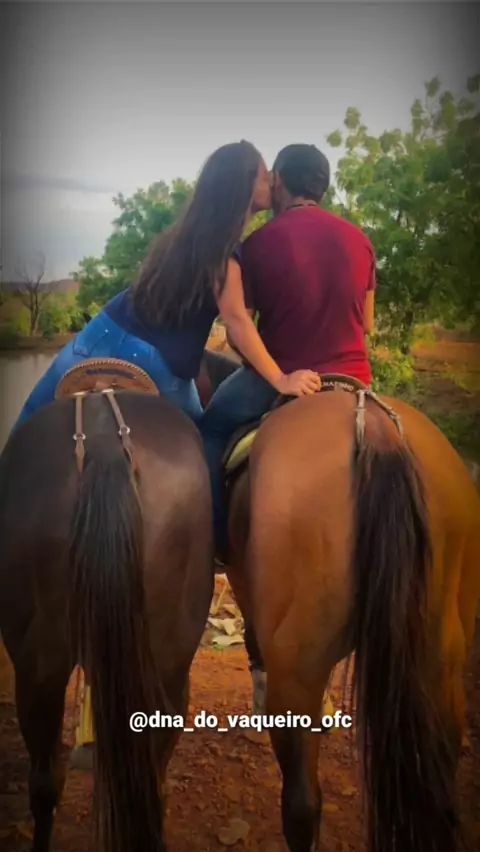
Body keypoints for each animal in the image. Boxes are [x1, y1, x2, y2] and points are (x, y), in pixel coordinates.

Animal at [200, 349, 480, 852]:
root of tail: (380, 432)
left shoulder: (246, 584)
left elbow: (254, 642)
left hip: (299, 665)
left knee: (302, 804)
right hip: (441, 656)